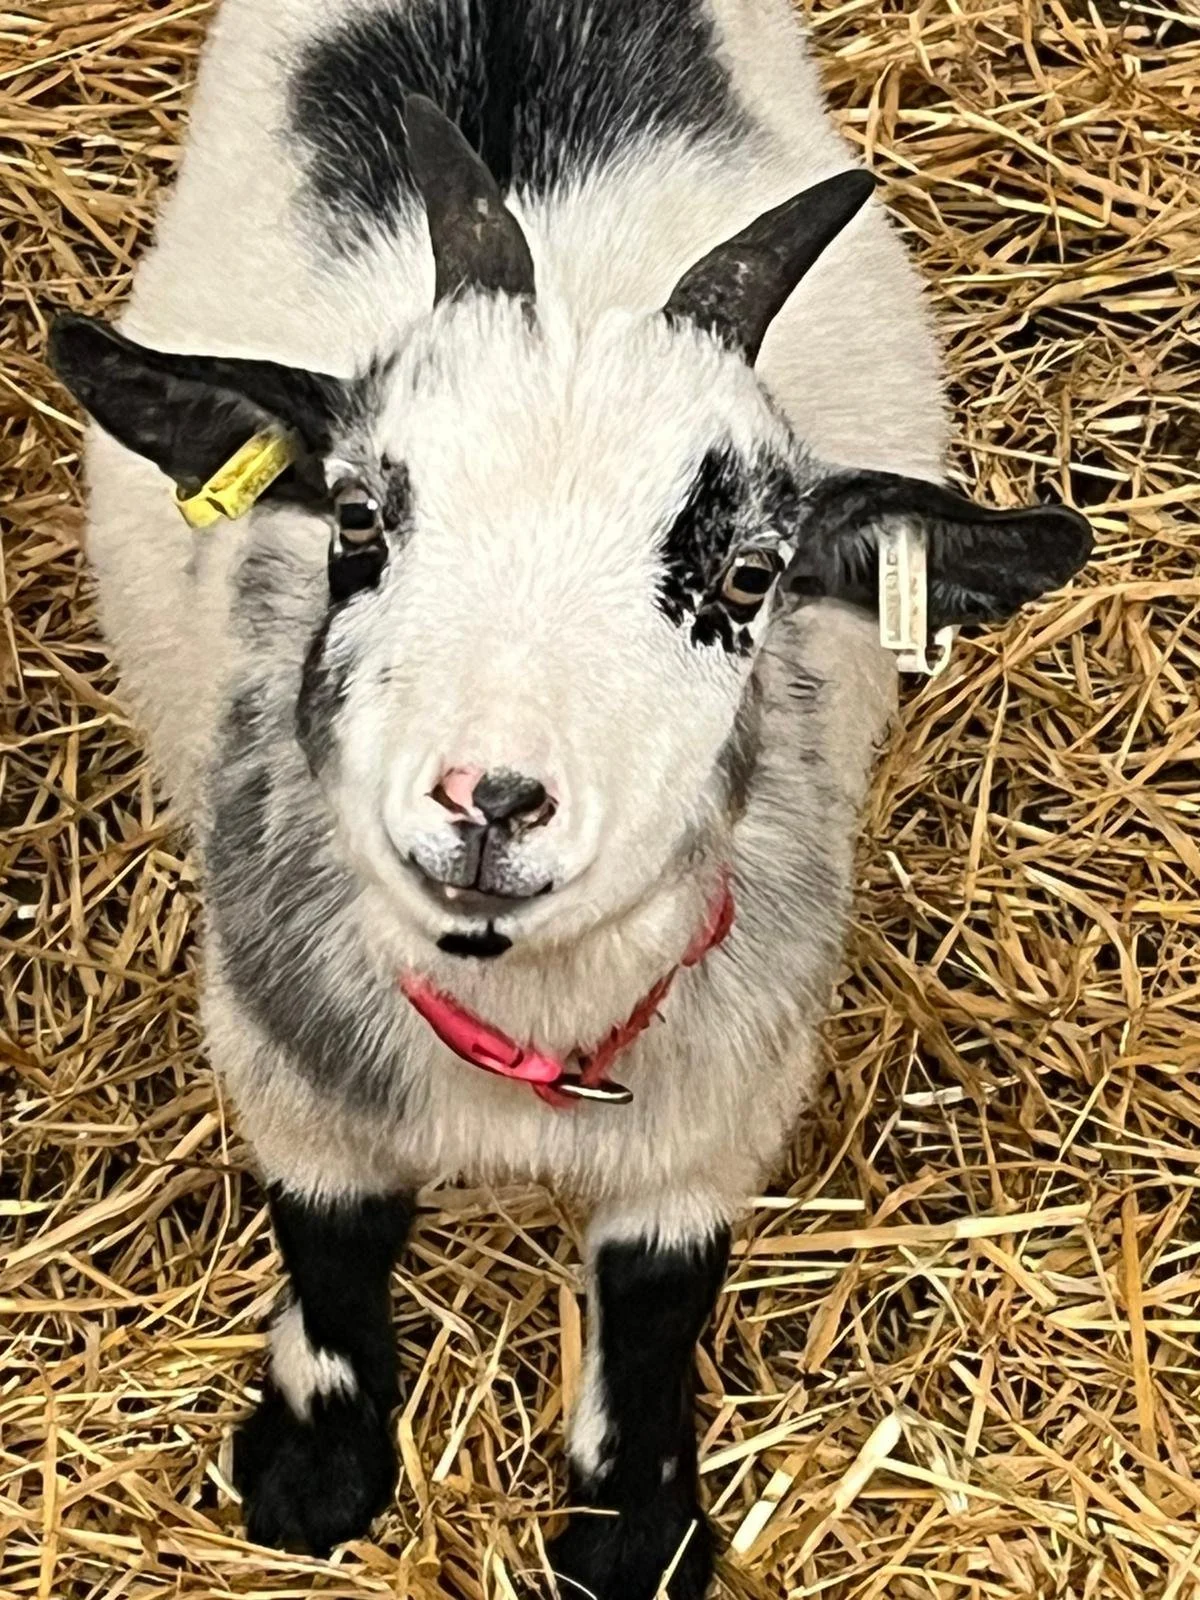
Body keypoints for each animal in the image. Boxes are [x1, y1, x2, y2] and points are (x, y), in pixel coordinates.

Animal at [49, 1, 1091, 1594]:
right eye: (357, 518)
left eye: (749, 577)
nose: (490, 801)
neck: (518, 1029)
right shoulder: (283, 1051)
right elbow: (329, 1250)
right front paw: (311, 1473)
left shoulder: (716, 1109)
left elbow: (658, 1308)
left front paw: (634, 1530)